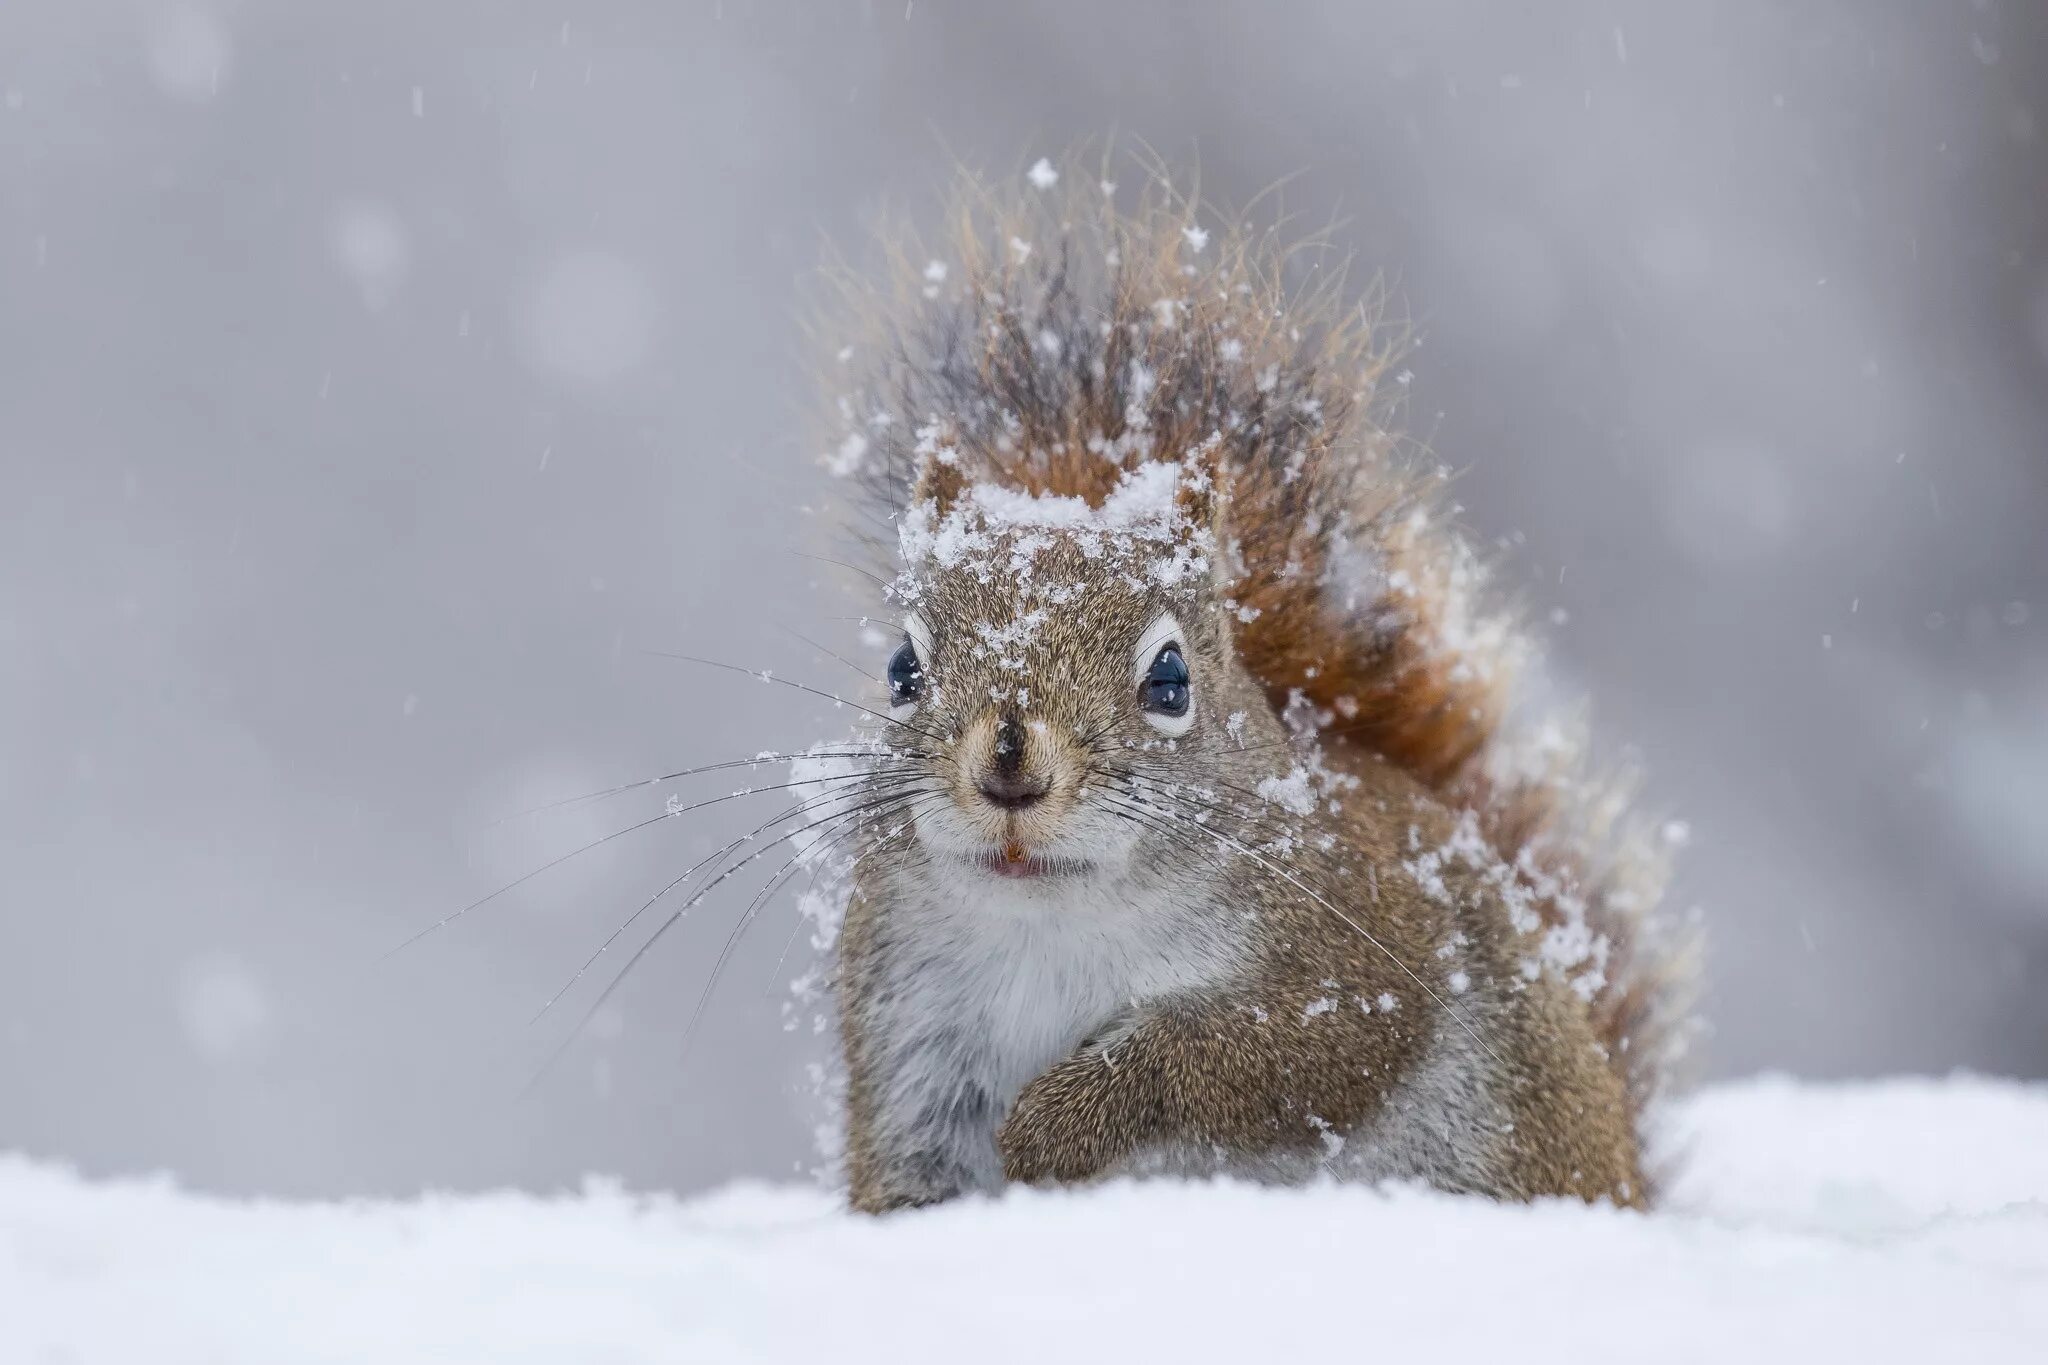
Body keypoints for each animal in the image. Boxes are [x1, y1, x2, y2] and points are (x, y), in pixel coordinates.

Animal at [798, 160, 1695, 1219]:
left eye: (1171, 679)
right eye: (903, 670)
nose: (1010, 767)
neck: (1050, 925)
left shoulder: (1361, 955)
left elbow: (1247, 1058)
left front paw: (1055, 1124)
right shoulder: (910, 1032)